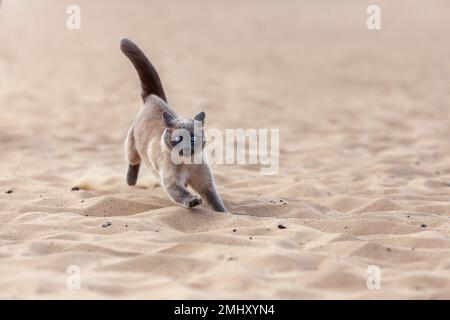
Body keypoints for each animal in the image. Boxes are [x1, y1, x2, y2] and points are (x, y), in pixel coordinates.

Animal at [119, 38, 227, 212]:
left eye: (192, 139)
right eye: (178, 139)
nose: (185, 149)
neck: (188, 163)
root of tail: (153, 98)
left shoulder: (206, 185)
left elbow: (216, 203)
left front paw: (225, 214)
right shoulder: (172, 183)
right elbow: (183, 194)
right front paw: (193, 201)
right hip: (132, 146)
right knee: (133, 161)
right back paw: (130, 182)